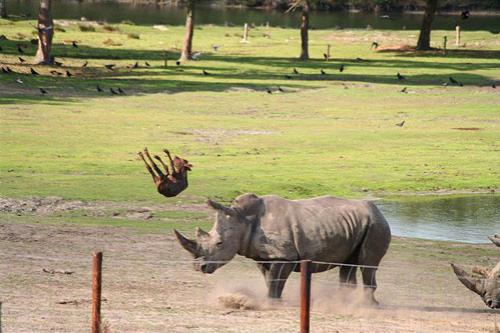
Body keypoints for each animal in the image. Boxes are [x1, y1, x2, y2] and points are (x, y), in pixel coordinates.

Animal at [175, 192, 390, 304]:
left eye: (219, 244)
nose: (199, 267)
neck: (242, 220)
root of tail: (378, 210)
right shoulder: (262, 256)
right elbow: (270, 279)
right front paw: (274, 300)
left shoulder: (284, 256)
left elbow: (275, 279)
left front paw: (271, 302)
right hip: (356, 225)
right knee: (349, 264)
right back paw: (344, 301)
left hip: (375, 224)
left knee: (368, 264)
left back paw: (368, 305)